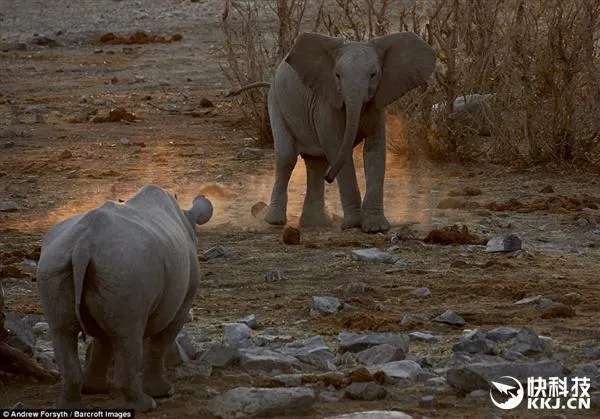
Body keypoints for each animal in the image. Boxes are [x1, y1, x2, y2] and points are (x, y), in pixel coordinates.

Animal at [35, 185, 213, 414]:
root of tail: (84, 241)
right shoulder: (182, 303)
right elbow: (160, 342)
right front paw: (163, 392)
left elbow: (102, 342)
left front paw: (94, 389)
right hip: (127, 265)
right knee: (129, 333)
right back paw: (145, 405)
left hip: (58, 260)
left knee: (62, 331)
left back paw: (67, 405)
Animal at [260, 31, 434, 233]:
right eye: (337, 75)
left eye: (373, 74)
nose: (329, 178)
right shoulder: (326, 102)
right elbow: (336, 147)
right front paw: (352, 224)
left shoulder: (377, 104)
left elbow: (375, 150)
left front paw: (376, 227)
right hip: (276, 101)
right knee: (287, 157)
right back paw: (275, 221)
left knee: (316, 163)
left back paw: (317, 223)